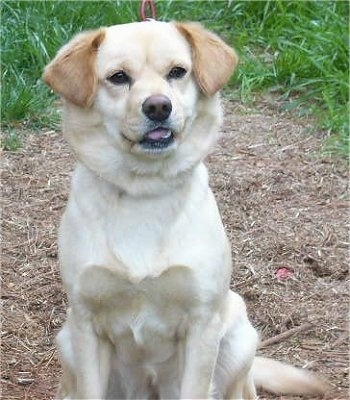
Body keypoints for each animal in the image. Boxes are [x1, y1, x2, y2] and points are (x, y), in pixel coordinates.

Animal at [43, 21, 328, 396]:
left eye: (177, 72)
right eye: (118, 77)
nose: (158, 107)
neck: (144, 192)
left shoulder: (202, 324)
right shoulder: (87, 324)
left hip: (238, 337)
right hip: (67, 341)